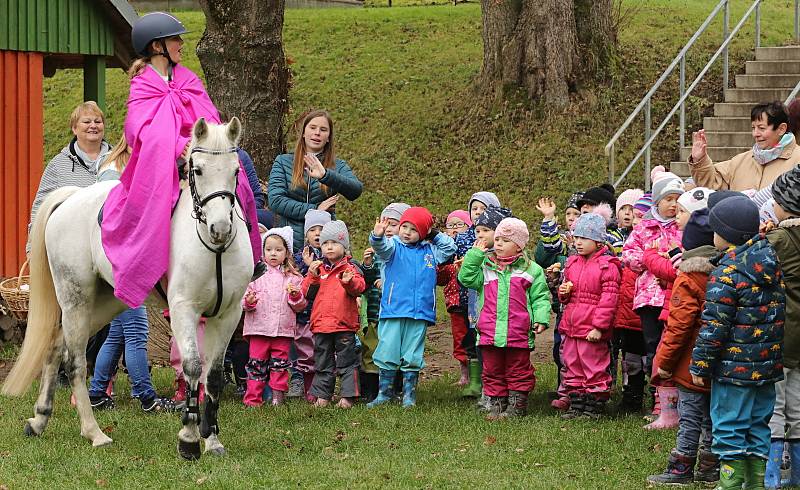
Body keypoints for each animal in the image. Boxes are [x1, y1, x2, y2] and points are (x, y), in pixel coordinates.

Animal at [3, 117, 253, 460]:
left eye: (236, 171)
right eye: (198, 170)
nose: (220, 229)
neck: (213, 249)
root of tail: (71, 198)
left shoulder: (228, 314)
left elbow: (212, 376)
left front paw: (213, 440)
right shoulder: (184, 310)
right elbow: (191, 366)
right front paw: (188, 439)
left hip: (106, 303)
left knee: (56, 345)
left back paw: (40, 420)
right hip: (76, 299)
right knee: (75, 362)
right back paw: (94, 433)